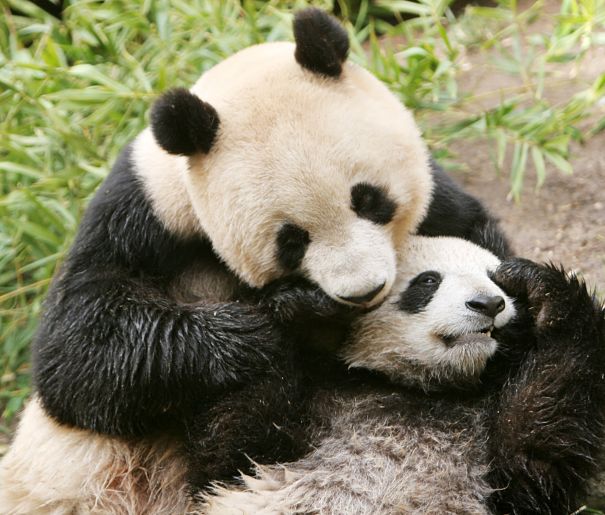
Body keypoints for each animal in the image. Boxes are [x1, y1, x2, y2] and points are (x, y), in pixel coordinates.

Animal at [0, 6, 512, 512]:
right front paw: (274, 322)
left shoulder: (440, 200)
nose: (364, 290)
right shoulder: (139, 214)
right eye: (291, 241)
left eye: (370, 200)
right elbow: (78, 352)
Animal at [204, 237, 604, 515]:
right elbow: (235, 446)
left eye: (497, 282)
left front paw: (544, 290)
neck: (423, 388)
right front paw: (301, 309)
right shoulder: (319, 409)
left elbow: (539, 440)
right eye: (428, 281)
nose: (488, 304)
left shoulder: (494, 455)